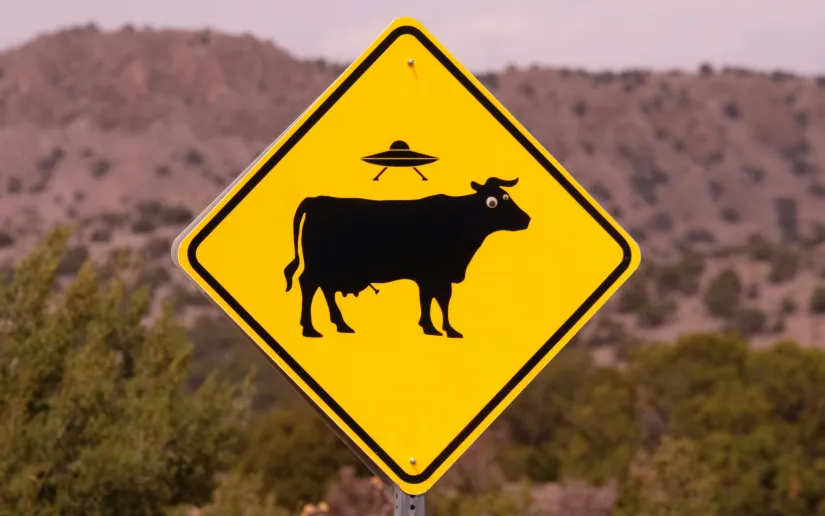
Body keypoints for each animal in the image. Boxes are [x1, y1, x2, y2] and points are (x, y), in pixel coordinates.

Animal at [284, 177, 531, 338]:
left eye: (507, 196)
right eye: (493, 202)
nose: (526, 218)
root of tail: (316, 199)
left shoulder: (435, 276)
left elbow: (434, 300)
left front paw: (439, 328)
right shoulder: (435, 274)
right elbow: (436, 299)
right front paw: (438, 329)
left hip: (330, 269)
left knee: (325, 289)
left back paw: (341, 324)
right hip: (318, 265)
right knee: (308, 284)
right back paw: (309, 329)